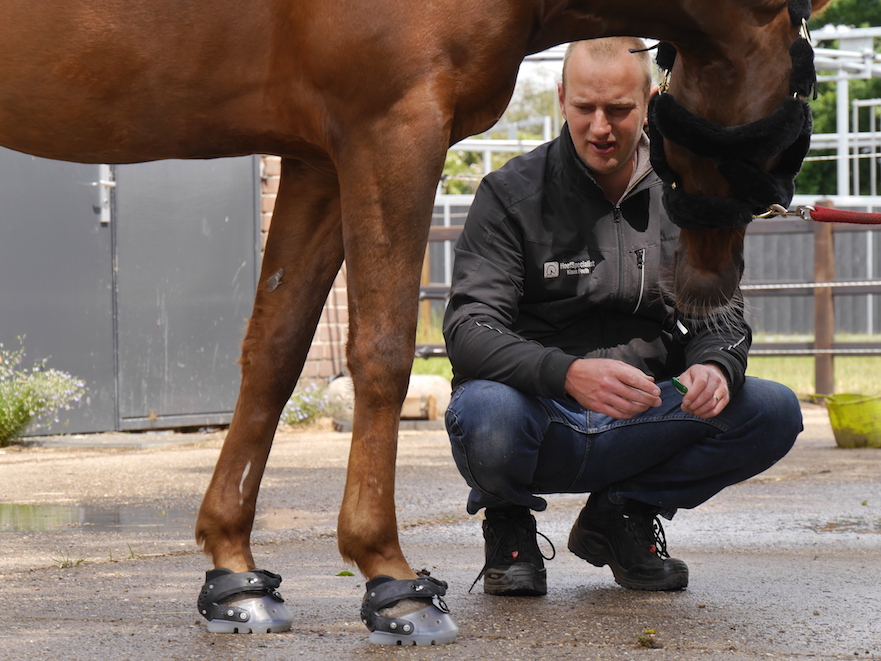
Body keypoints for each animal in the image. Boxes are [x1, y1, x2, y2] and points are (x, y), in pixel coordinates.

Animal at [0, 0, 824, 644]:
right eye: (796, 95)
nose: (706, 287)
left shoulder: (315, 158)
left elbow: (275, 350)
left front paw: (234, 573)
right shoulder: (390, 129)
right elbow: (383, 350)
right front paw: (388, 579)